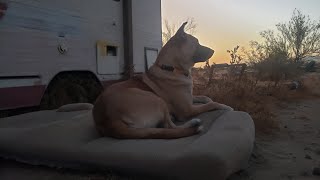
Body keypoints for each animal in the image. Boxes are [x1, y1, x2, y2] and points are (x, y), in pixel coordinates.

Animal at [90, 21, 232, 139]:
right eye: (196, 43)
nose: (213, 50)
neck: (172, 69)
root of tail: (108, 120)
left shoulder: (189, 98)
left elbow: (204, 97)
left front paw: (209, 99)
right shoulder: (187, 109)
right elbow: (210, 104)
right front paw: (225, 106)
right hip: (156, 99)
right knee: (170, 127)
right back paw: (193, 122)